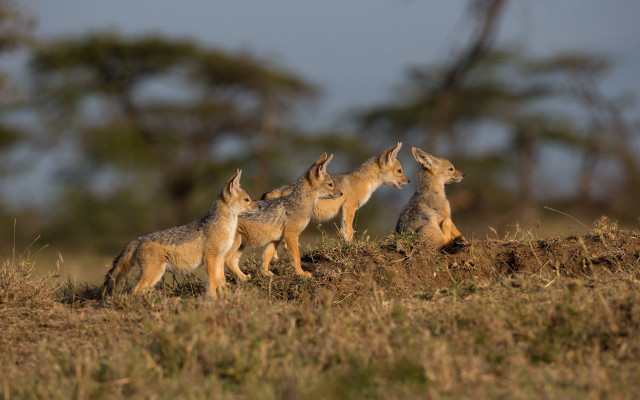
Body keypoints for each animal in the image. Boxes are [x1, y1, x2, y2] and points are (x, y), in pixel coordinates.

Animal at [101, 169, 259, 298]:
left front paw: (226, 297)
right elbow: (213, 282)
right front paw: (212, 299)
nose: (258, 206)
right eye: (247, 199)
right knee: (134, 292)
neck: (224, 227)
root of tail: (138, 239)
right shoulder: (210, 259)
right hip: (154, 274)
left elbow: (221, 281)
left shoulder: (219, 259)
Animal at [262, 142, 410, 242]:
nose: (409, 181)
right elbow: (349, 231)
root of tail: (281, 189)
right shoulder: (349, 207)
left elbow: (344, 231)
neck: (363, 180)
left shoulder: (342, 211)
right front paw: (351, 246)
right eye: (400, 171)